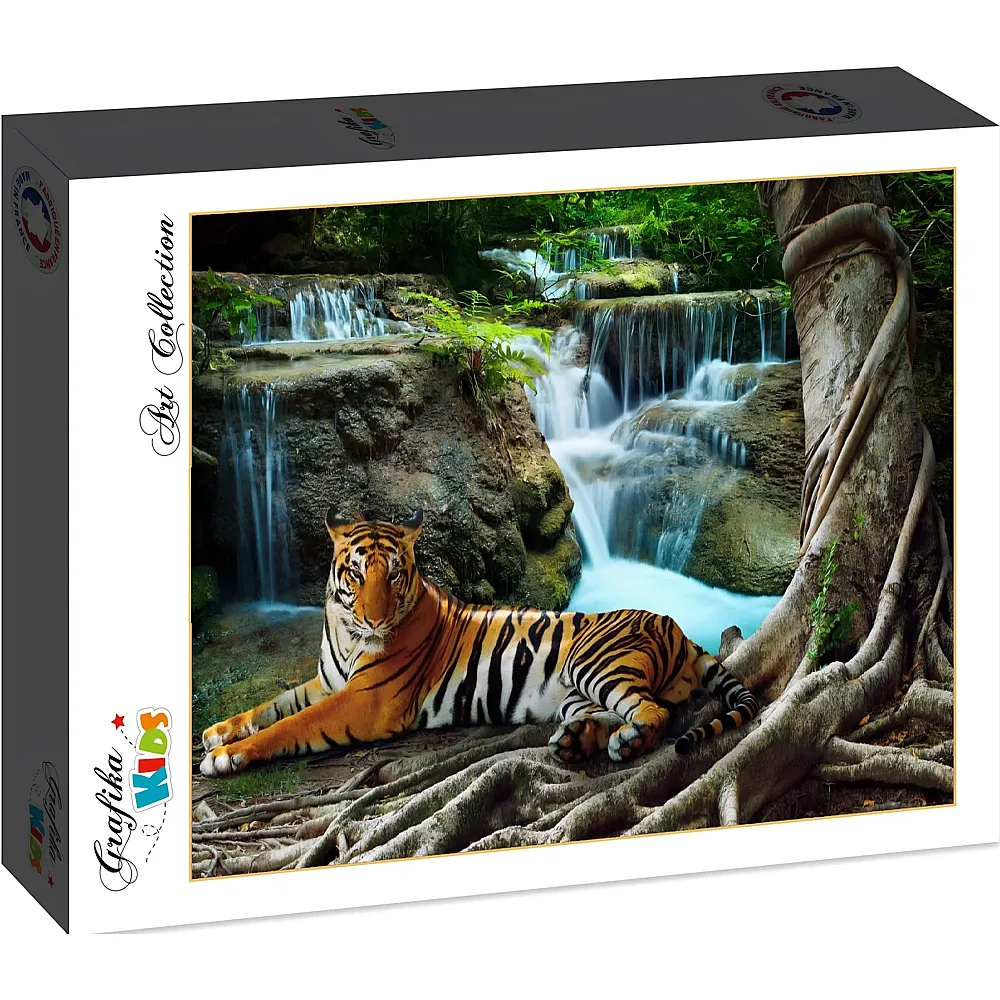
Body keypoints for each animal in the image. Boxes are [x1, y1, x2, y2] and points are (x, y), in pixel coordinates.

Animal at [200, 508, 761, 776]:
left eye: (393, 574)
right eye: (356, 574)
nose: (375, 620)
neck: (344, 630)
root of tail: (679, 628)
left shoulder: (364, 702)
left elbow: (290, 725)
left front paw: (226, 756)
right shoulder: (326, 682)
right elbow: (273, 706)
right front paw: (218, 731)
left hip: (596, 663)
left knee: (653, 713)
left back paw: (625, 742)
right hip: (577, 693)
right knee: (613, 714)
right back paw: (577, 742)